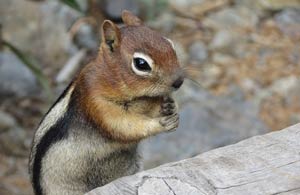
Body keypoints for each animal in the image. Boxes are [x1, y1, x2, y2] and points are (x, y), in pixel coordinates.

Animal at [28, 10, 183, 195]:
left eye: (170, 43)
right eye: (141, 64)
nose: (179, 81)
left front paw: (171, 106)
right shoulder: (96, 102)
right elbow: (123, 126)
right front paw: (161, 123)